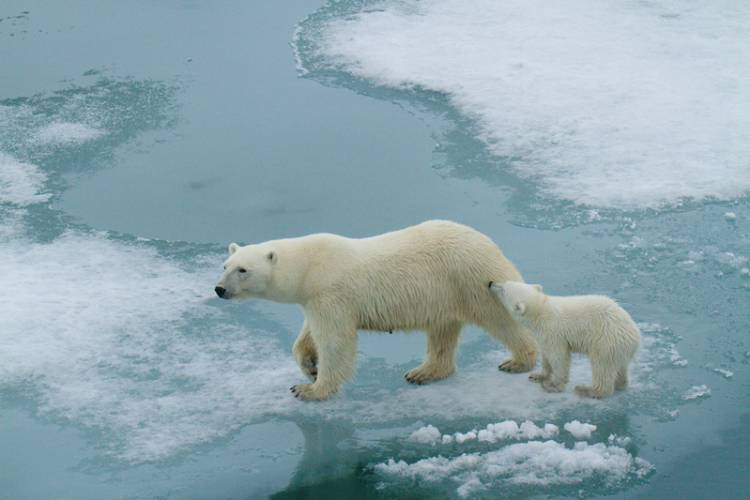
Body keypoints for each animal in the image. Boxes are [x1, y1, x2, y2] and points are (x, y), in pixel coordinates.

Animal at [214, 221, 536, 400]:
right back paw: (424, 372)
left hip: (472, 277)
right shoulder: (315, 298)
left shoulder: (331, 293)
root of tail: (490, 243)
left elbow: (336, 341)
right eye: (225, 265)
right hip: (446, 292)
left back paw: (519, 361)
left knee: (501, 318)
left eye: (243, 270)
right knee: (442, 331)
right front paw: (309, 366)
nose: (219, 289)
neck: (309, 267)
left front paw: (309, 390)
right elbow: (308, 335)